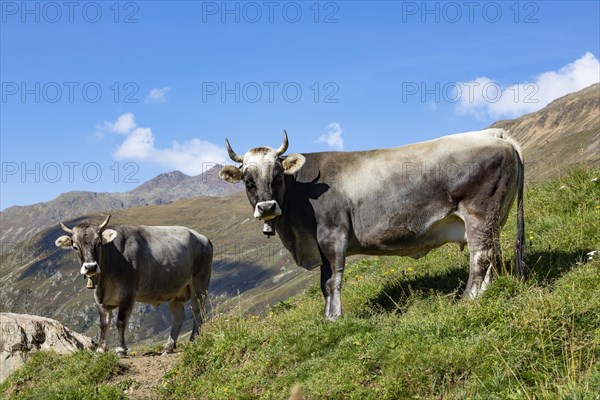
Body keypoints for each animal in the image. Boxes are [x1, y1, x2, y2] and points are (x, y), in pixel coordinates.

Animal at [54, 216, 212, 356]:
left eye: (98, 243)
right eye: (75, 246)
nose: (91, 267)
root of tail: (203, 238)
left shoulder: (128, 293)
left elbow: (120, 322)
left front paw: (121, 350)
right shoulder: (100, 299)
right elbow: (103, 324)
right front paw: (100, 349)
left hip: (200, 283)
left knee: (198, 311)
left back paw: (193, 340)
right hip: (175, 290)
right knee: (179, 316)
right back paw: (168, 347)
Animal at [218, 130, 524, 320]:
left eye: (278, 175)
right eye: (248, 180)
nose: (267, 207)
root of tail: (491, 133)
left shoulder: (333, 236)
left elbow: (333, 280)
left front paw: (335, 317)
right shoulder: (320, 245)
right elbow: (323, 283)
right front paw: (327, 317)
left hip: (479, 213)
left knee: (480, 257)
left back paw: (467, 299)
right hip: (493, 219)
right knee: (491, 254)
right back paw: (484, 294)